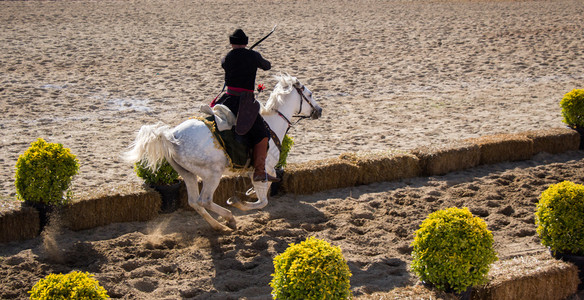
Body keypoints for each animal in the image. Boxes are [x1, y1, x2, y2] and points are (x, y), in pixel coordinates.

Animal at [124, 74, 324, 231]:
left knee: (194, 202)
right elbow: (263, 201)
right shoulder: (263, 168)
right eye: (310, 94)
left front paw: (250, 192)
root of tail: (171, 135)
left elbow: (264, 189)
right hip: (212, 174)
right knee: (204, 200)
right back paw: (229, 217)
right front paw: (239, 203)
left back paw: (218, 225)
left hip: (187, 174)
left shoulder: (263, 171)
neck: (272, 123)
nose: (319, 110)